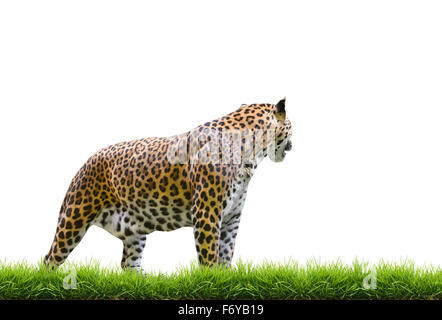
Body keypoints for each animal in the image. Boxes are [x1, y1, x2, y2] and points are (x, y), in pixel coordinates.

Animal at [44, 97, 294, 272]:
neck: (252, 154)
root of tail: (86, 162)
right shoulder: (207, 213)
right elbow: (210, 255)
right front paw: (213, 281)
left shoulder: (232, 217)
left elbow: (226, 252)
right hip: (74, 217)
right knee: (50, 258)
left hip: (134, 232)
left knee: (128, 265)